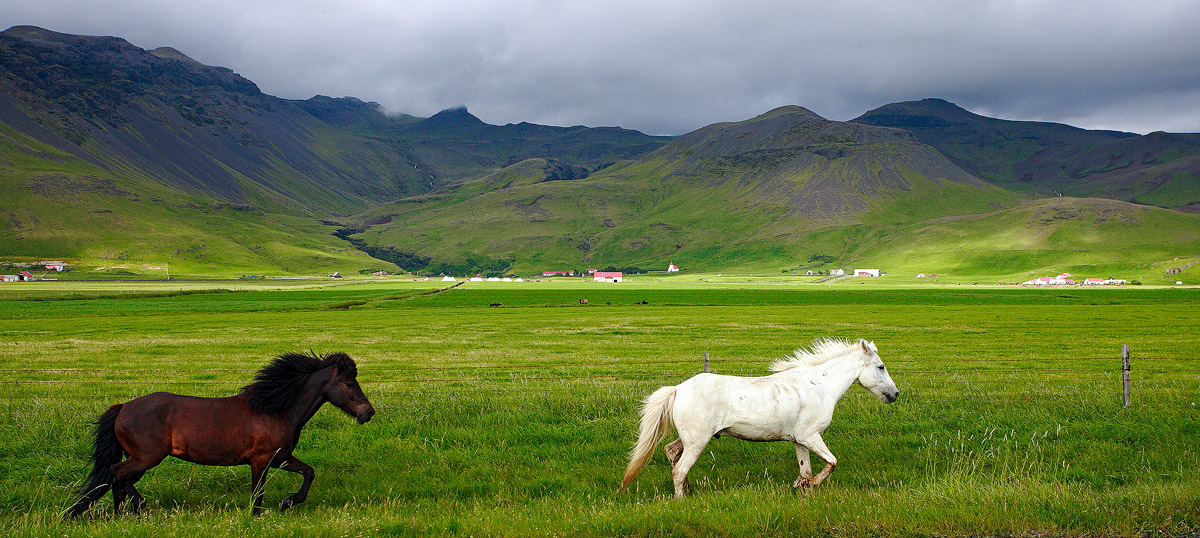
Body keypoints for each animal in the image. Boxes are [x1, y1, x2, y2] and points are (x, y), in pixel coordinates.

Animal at [66, 351, 375, 518]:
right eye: (349, 382)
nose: (368, 412)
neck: (275, 409)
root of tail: (123, 407)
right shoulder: (261, 460)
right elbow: (257, 493)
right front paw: (258, 516)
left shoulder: (281, 458)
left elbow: (309, 473)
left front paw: (288, 502)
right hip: (146, 458)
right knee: (116, 474)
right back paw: (138, 506)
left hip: (140, 460)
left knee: (117, 479)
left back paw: (124, 514)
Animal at [619, 338, 899, 497]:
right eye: (881, 366)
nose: (895, 394)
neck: (818, 386)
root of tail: (678, 388)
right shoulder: (811, 436)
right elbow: (831, 463)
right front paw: (809, 486)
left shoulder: (800, 440)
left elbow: (806, 469)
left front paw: (804, 488)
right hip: (698, 441)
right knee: (679, 470)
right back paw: (681, 499)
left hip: (691, 439)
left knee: (671, 452)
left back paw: (688, 488)